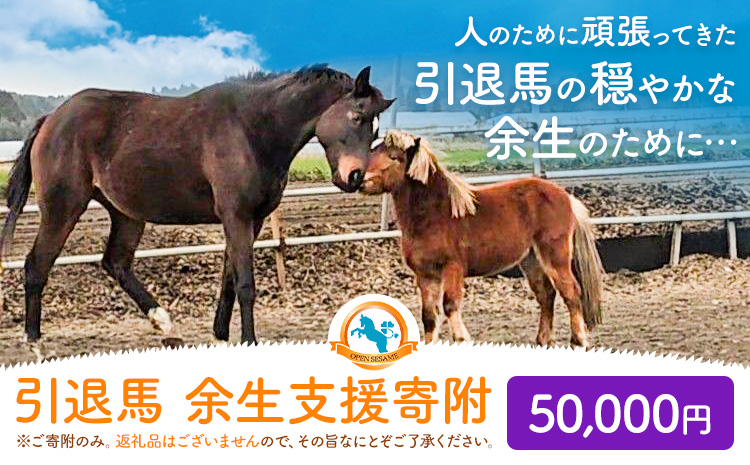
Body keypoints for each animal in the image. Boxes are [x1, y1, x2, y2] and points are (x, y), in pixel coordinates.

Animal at [0, 65, 394, 346]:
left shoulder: (252, 220)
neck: (252, 128)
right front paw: (249, 340)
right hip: (63, 207)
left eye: (375, 130)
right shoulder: (236, 215)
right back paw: (35, 343)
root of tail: (51, 119)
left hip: (126, 214)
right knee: (36, 265)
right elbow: (246, 283)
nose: (355, 177)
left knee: (115, 262)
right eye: (356, 117)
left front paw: (221, 335)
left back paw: (164, 323)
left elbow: (229, 279)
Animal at [359, 130, 604, 347]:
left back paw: (579, 341)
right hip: (531, 260)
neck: (435, 213)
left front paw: (462, 339)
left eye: (394, 157)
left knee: (571, 292)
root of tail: (567, 198)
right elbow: (429, 316)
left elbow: (450, 306)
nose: (359, 181)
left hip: (555, 257)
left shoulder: (453, 269)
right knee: (546, 295)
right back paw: (543, 340)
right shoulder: (425, 275)